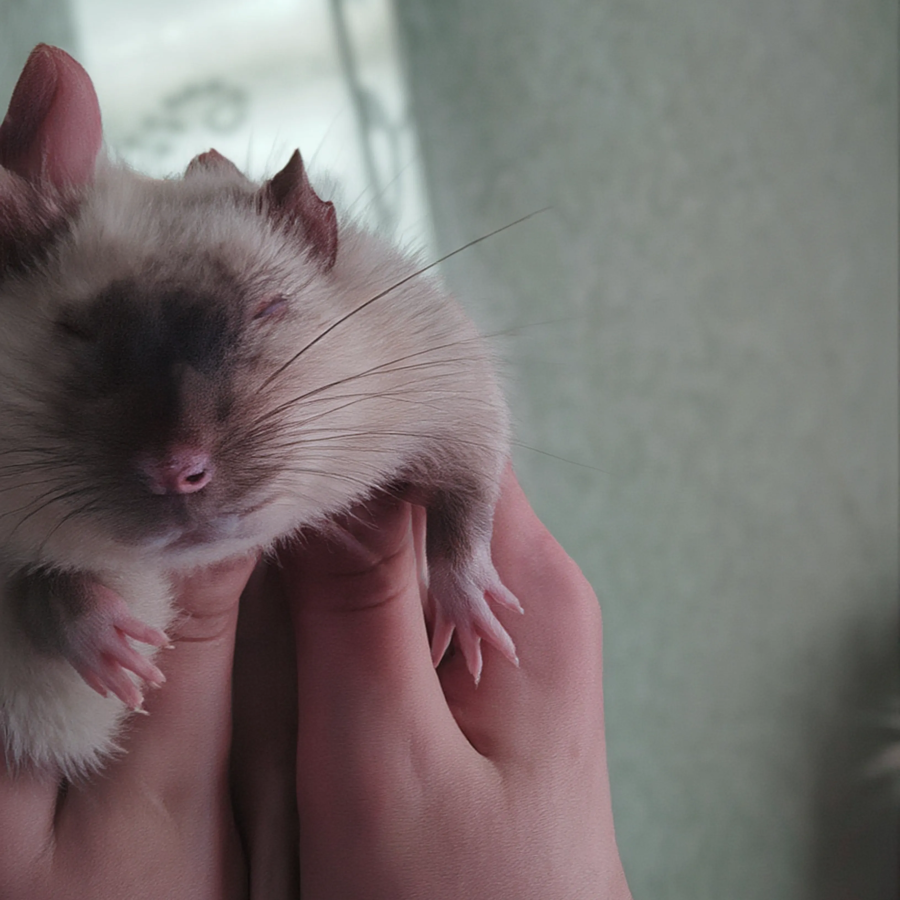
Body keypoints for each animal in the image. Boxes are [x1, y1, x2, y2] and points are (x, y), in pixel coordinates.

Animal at [0, 45, 520, 778]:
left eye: (267, 309)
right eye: (75, 331)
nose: (174, 470)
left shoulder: (431, 355)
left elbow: (471, 462)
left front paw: (466, 594)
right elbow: (34, 596)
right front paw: (94, 628)